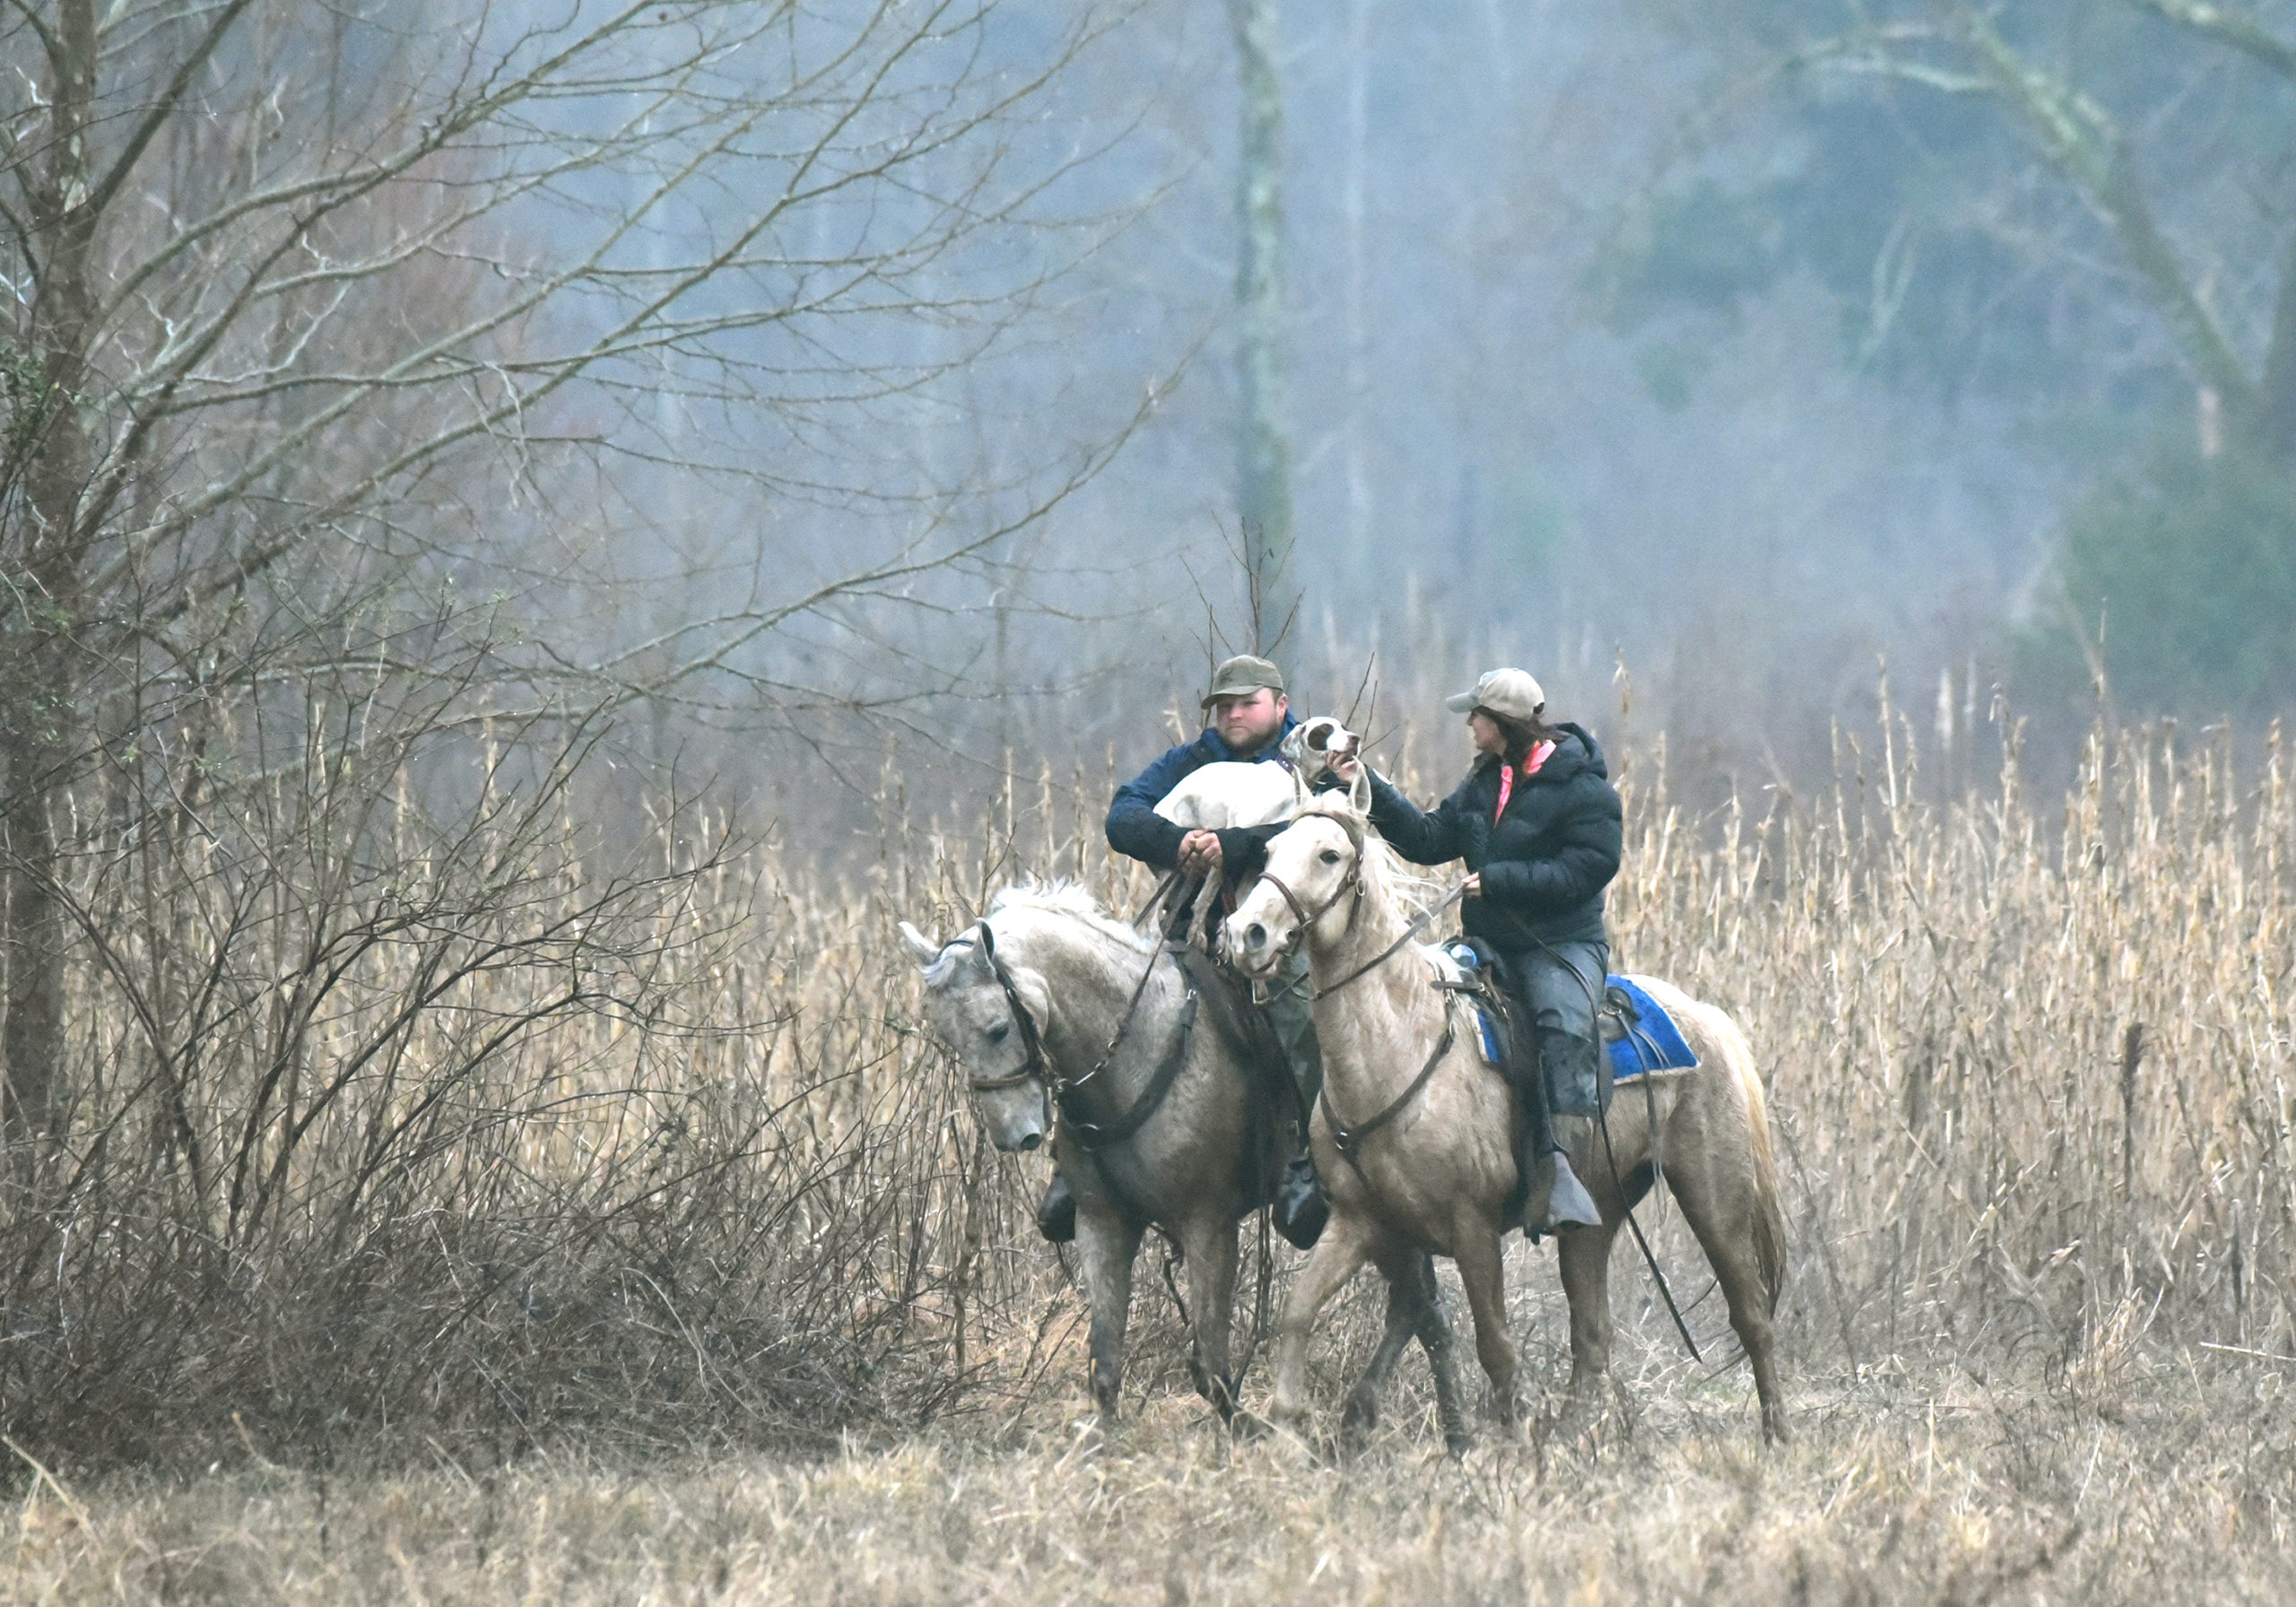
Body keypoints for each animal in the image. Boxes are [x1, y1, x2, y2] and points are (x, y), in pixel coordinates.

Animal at [900, 876, 1450, 1432]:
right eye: (947, 1036)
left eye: (997, 1028)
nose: (1016, 1137)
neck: (1139, 1048)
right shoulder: (1102, 1223)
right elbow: (1105, 1363)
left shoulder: (1208, 1226)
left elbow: (1211, 1370)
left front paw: (1246, 1430)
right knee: (1419, 1308)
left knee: (1418, 1308)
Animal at [1221, 789, 1790, 1441]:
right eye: (1269, 850)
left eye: (1328, 854)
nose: (1246, 933)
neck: (1403, 1043)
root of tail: (1707, 1018)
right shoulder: (1360, 1222)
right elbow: (1297, 1312)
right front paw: (1285, 1423)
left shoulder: (1472, 1225)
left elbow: (1494, 1344)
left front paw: (1509, 1442)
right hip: (1598, 1213)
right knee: (1592, 1334)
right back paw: (1571, 1436)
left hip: (1715, 1198)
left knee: (1752, 1317)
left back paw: (1776, 1435)